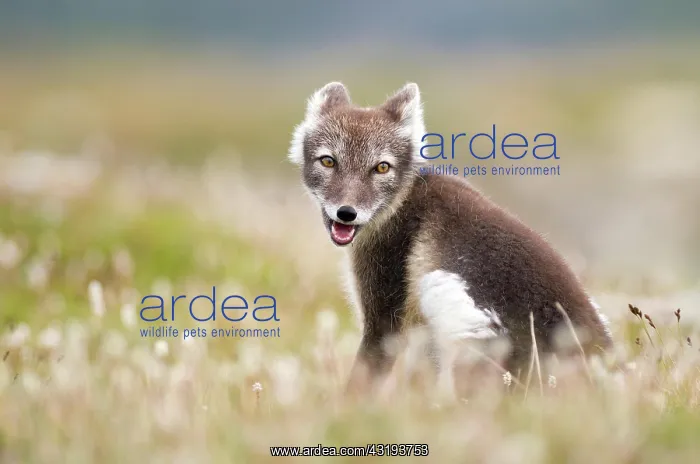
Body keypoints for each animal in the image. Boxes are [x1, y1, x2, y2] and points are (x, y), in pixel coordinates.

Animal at [288, 81, 613, 397]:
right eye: (328, 161)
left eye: (381, 167)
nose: (346, 213)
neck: (402, 202)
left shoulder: (384, 310)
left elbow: (363, 377)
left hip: (446, 302)